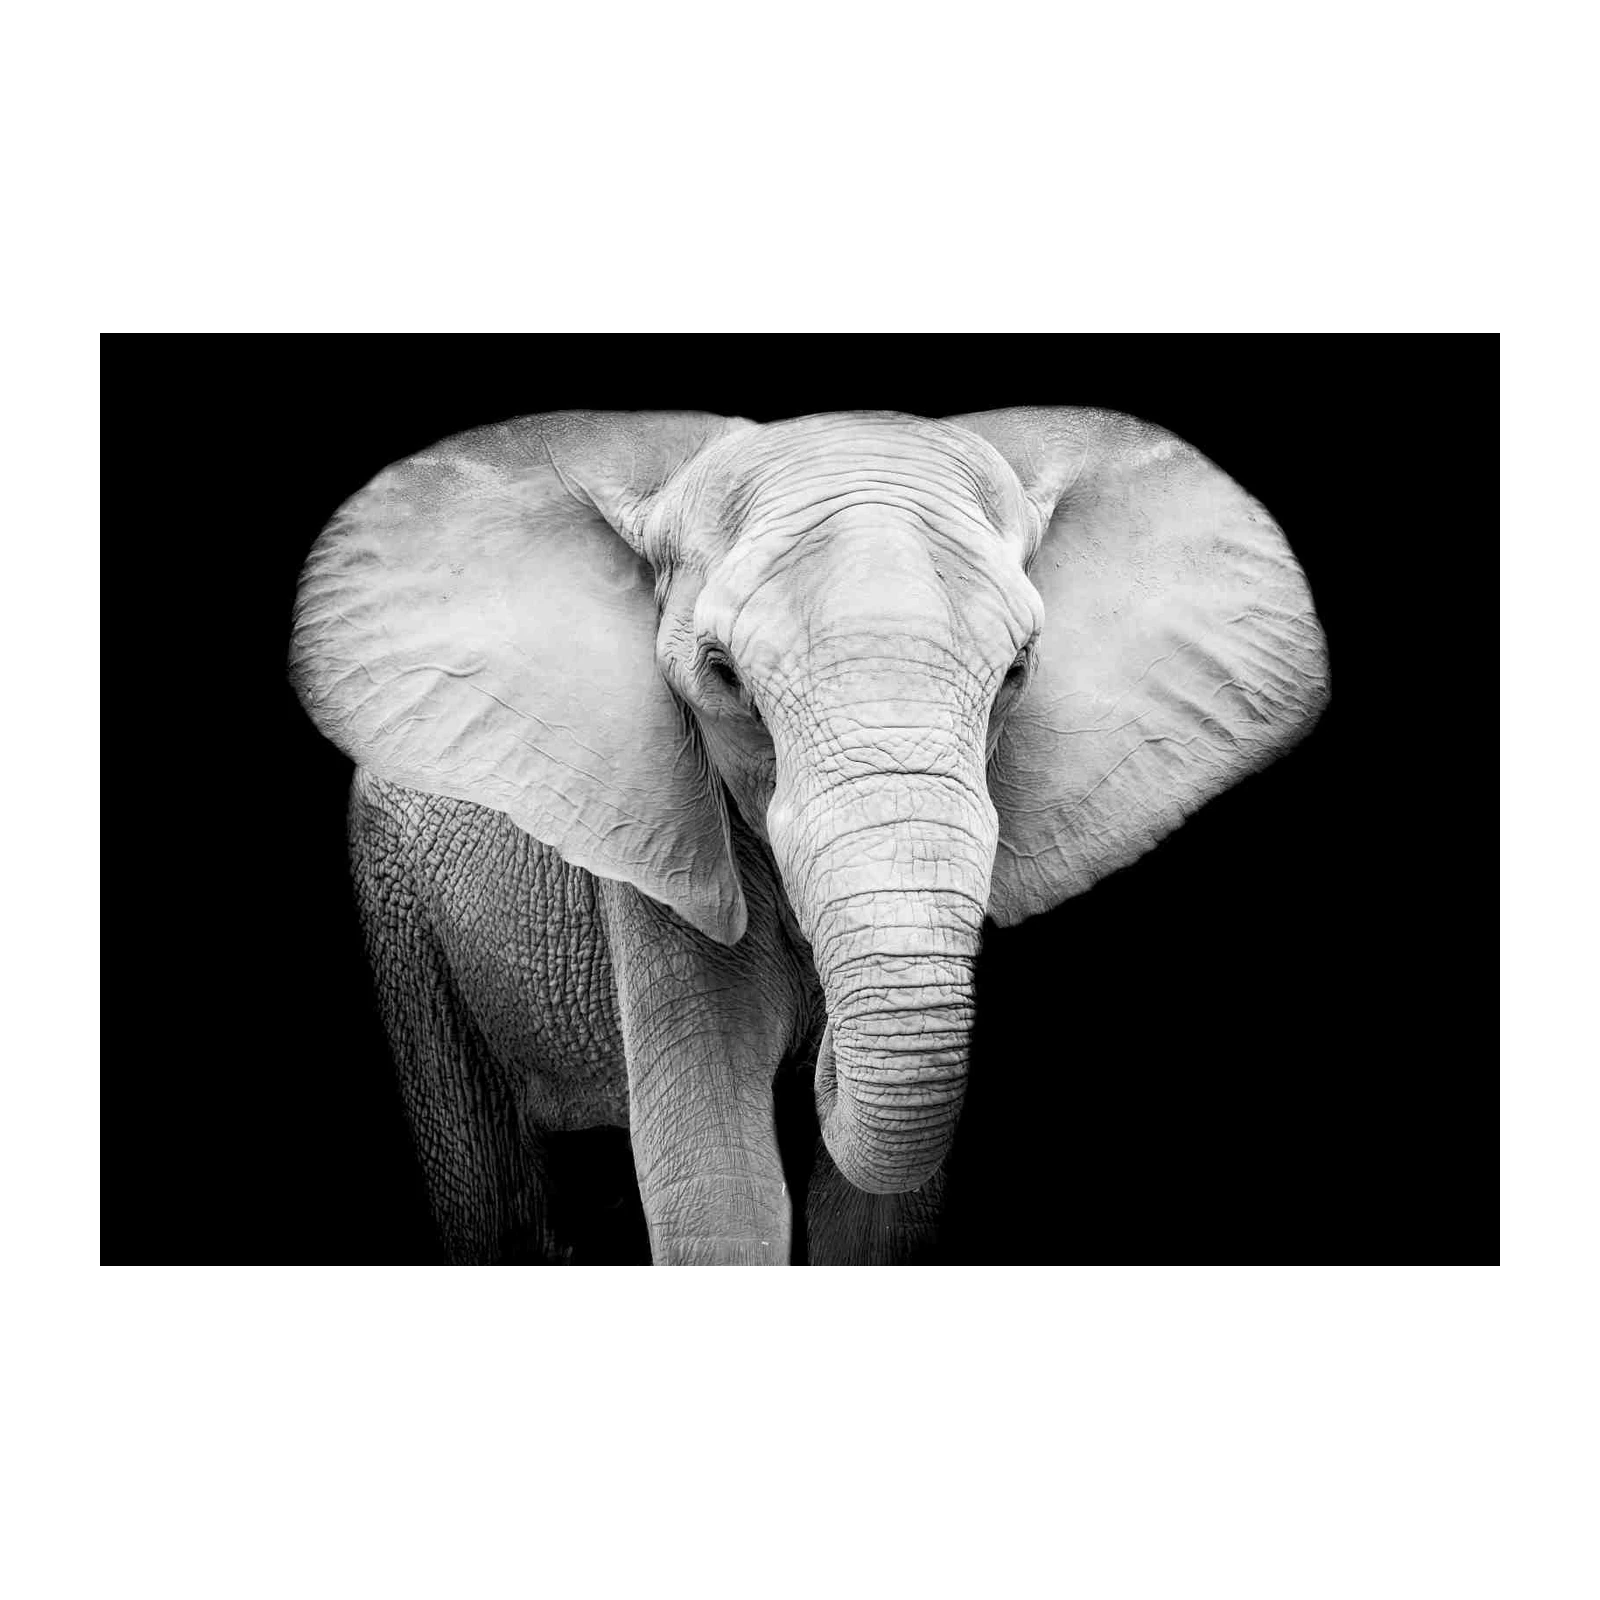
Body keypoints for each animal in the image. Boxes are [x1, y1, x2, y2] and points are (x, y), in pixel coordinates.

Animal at [288, 407, 1328, 1271]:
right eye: (721, 676)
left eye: (1019, 671)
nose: (820, 1057)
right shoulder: (665, 856)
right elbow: (718, 1185)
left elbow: (870, 1225)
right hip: (398, 900)